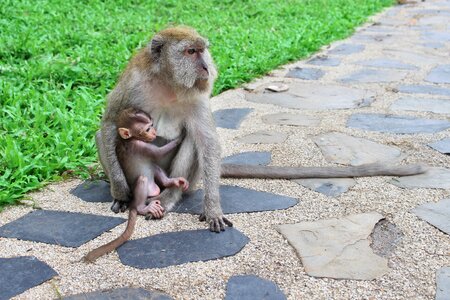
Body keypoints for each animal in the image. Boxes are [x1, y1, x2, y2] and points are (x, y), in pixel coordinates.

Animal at [84, 108, 188, 262]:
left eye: (152, 125)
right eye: (147, 128)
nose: (154, 132)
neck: (129, 139)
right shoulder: (139, 145)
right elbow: (158, 153)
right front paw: (180, 137)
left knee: (154, 167)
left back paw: (170, 182)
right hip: (145, 189)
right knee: (143, 180)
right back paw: (141, 208)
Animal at [96, 25, 428, 232]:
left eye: (202, 51)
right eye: (190, 52)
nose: (206, 67)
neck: (168, 82)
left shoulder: (199, 95)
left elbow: (208, 142)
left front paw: (213, 208)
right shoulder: (134, 83)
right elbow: (108, 125)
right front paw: (121, 192)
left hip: (187, 178)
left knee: (193, 142)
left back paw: (169, 196)